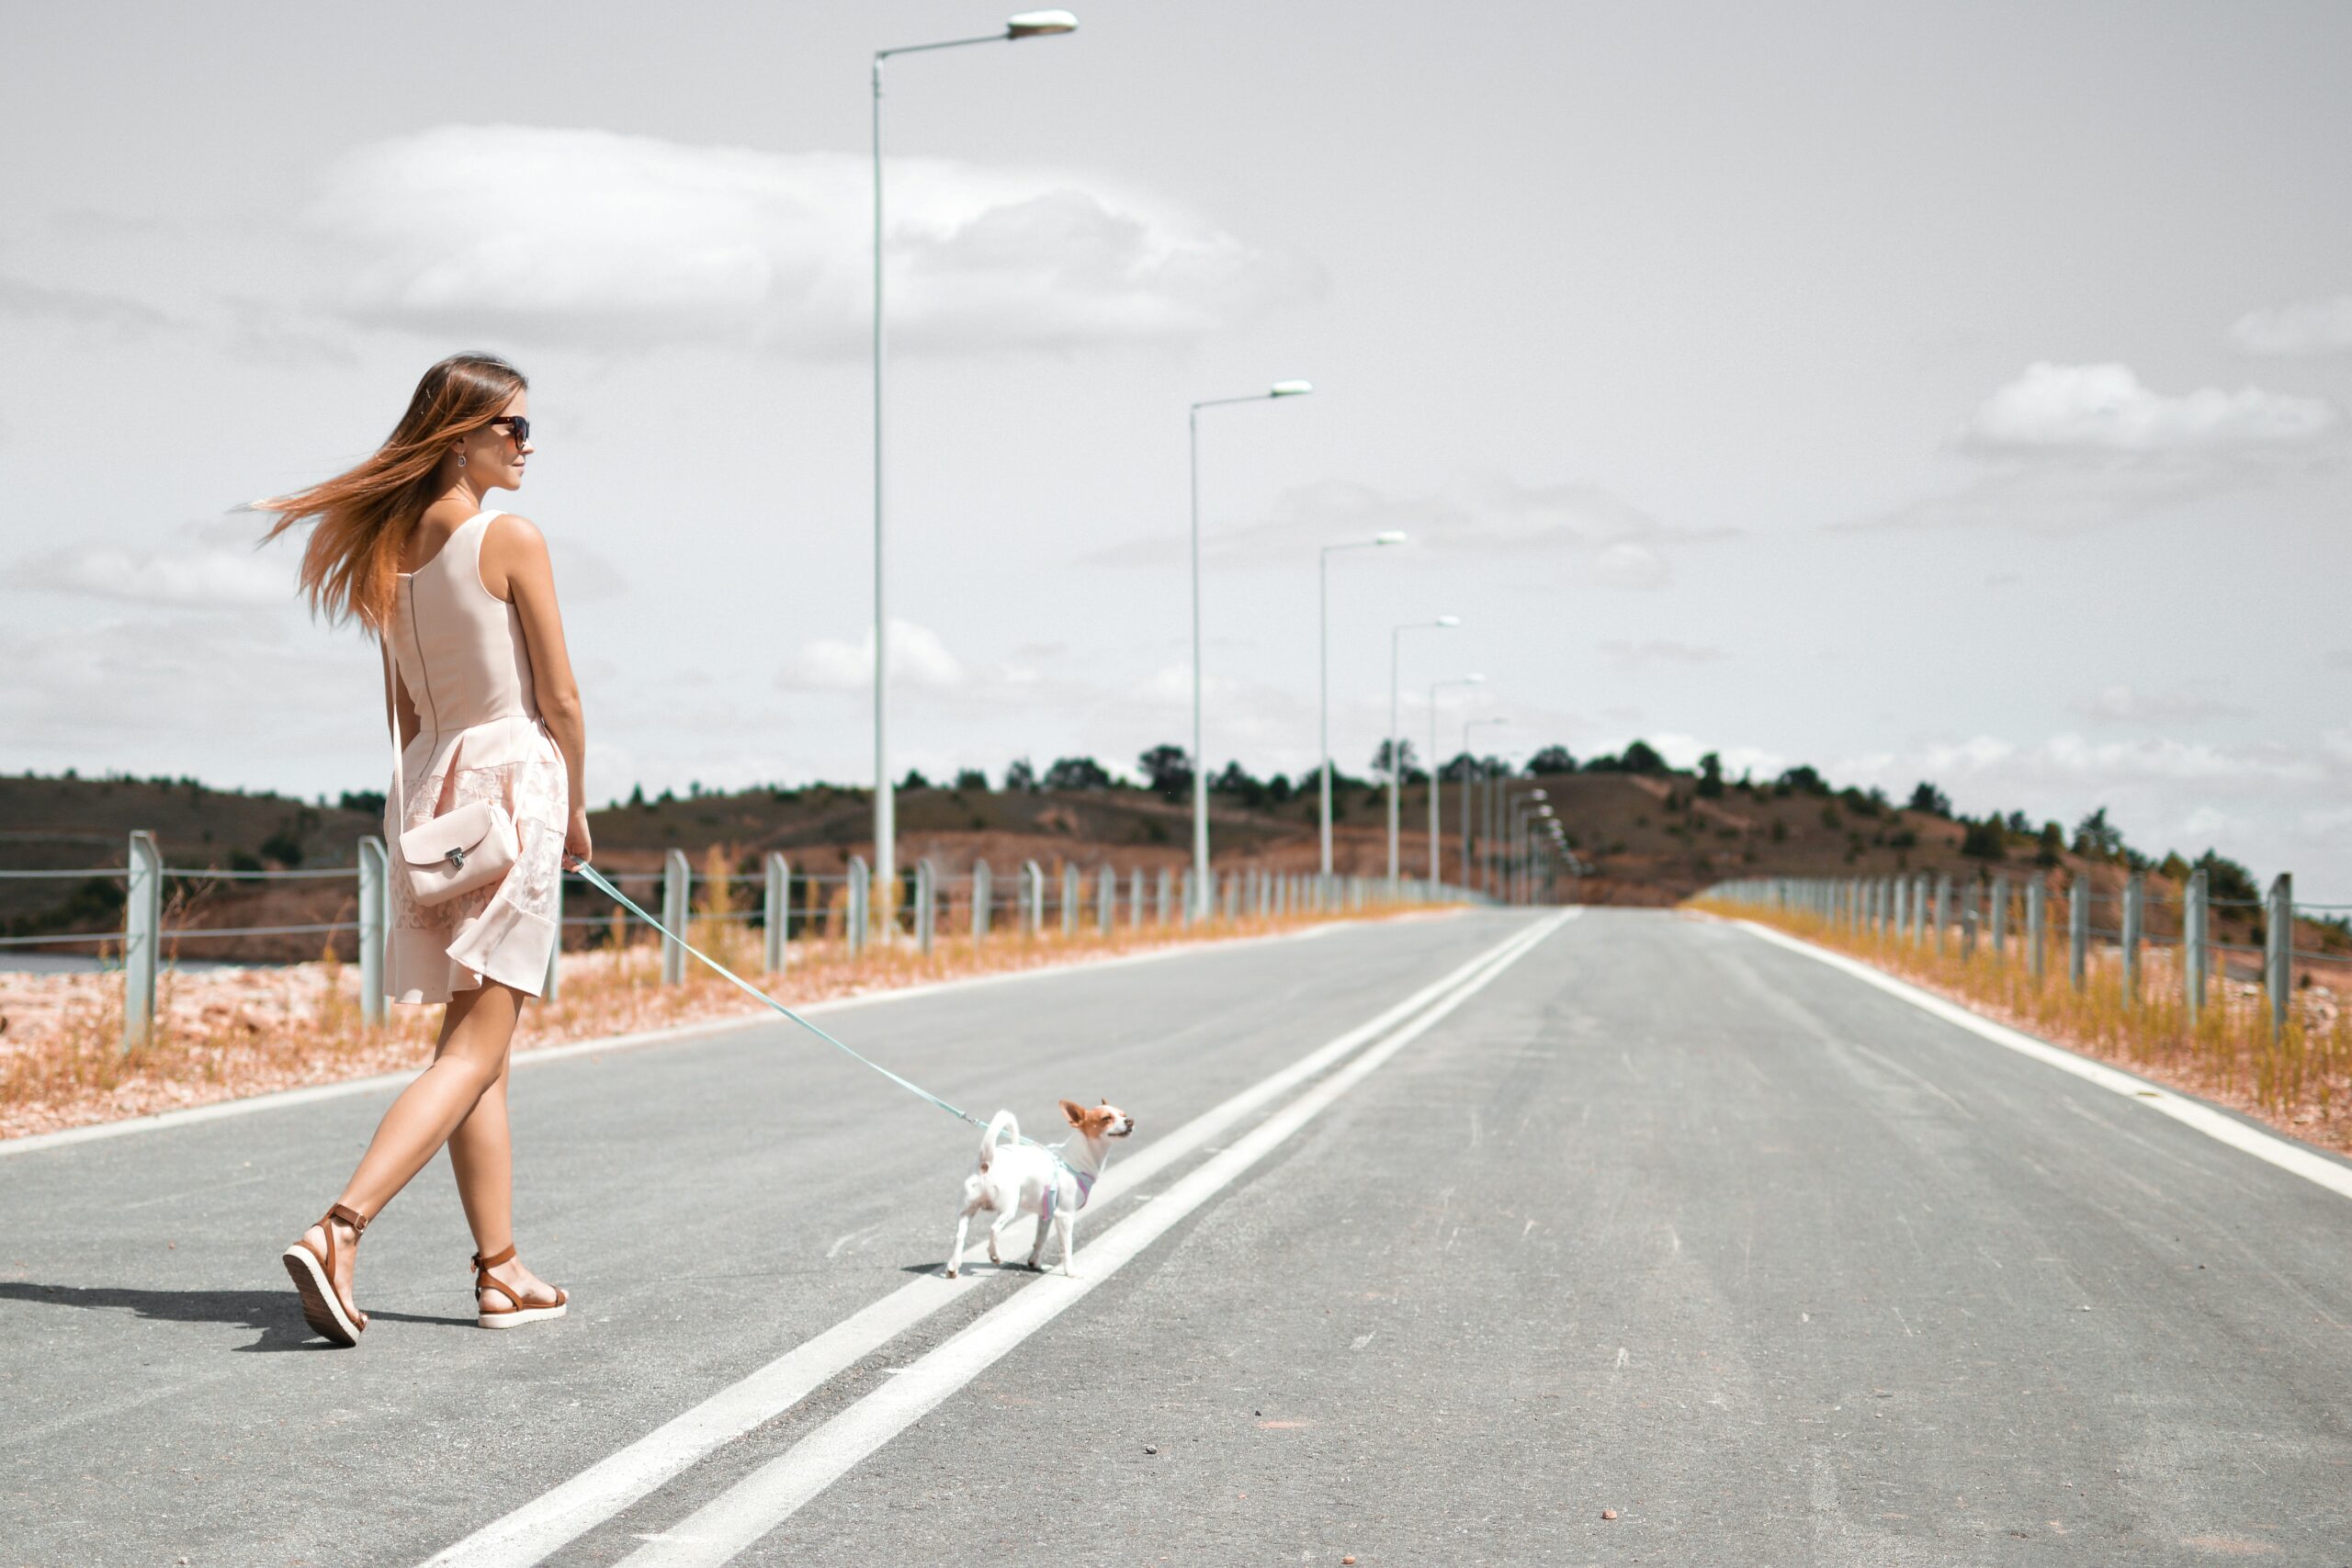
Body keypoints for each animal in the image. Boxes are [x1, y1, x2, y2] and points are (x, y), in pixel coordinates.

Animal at [950, 1100, 1143, 1279]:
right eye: (1106, 1118)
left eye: (1123, 1114)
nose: (1130, 1121)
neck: (1076, 1159)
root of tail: (987, 1161)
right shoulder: (1065, 1216)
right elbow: (1066, 1248)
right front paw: (1070, 1272)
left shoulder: (1046, 1216)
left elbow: (1040, 1240)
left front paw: (1035, 1264)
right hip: (1009, 1208)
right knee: (993, 1229)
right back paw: (995, 1256)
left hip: (967, 1211)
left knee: (959, 1236)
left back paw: (953, 1267)